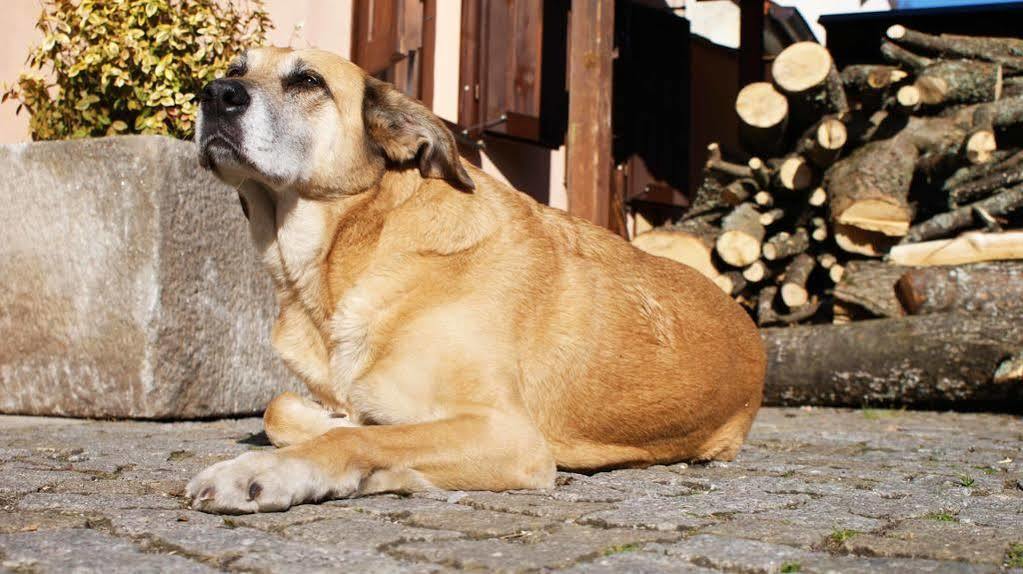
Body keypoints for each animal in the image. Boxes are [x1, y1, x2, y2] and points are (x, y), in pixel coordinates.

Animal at [184, 47, 765, 511]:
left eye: (308, 81)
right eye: (235, 68)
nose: (214, 94)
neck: (354, 252)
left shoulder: (510, 435)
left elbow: (355, 440)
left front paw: (268, 472)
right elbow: (283, 409)